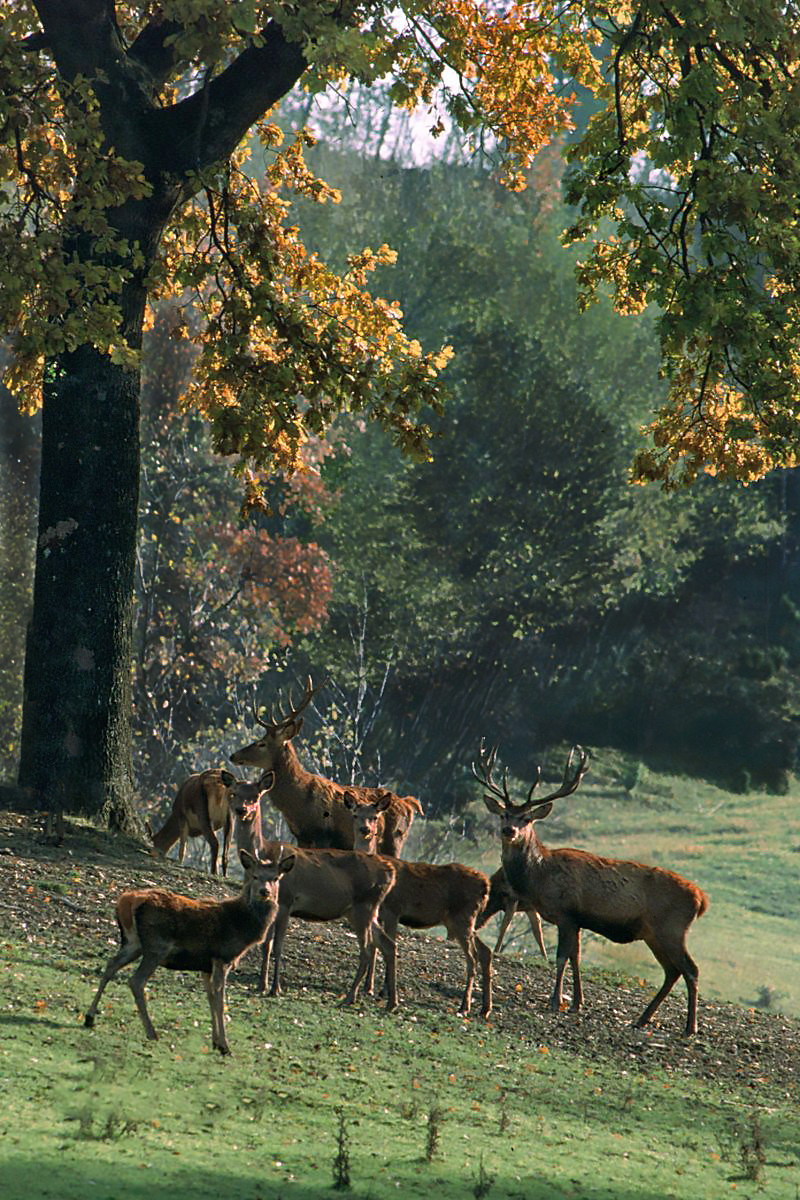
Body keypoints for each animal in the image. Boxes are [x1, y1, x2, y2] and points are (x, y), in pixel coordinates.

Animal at [83, 848, 295, 1055]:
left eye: (276, 878)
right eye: (255, 875)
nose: (264, 891)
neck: (243, 928)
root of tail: (126, 901)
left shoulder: (206, 965)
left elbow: (210, 997)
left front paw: (215, 1042)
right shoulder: (223, 957)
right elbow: (220, 998)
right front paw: (225, 1046)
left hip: (133, 943)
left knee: (111, 965)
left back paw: (89, 1017)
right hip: (156, 946)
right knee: (136, 981)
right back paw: (152, 1032)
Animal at [230, 676, 422, 855]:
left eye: (261, 743)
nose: (233, 756)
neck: (297, 802)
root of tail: (408, 805)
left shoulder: (323, 835)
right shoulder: (301, 836)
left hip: (394, 840)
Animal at [257, 840, 398, 1009]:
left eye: (276, 878)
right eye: (256, 876)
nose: (264, 891)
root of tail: (391, 874)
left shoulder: (285, 902)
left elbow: (277, 947)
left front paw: (275, 989)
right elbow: (266, 944)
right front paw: (261, 986)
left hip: (364, 907)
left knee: (367, 952)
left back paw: (349, 998)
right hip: (360, 912)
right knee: (389, 945)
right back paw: (392, 1003)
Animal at [345, 792, 494, 1017]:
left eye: (375, 816)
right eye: (355, 814)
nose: (365, 830)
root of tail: (486, 885)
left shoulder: (393, 909)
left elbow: (387, 945)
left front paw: (383, 990)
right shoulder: (379, 912)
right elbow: (375, 945)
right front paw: (369, 988)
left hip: (463, 918)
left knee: (473, 957)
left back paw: (465, 1006)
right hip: (460, 921)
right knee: (486, 952)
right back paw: (485, 1009)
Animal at [472, 743, 708, 1035]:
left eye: (527, 818)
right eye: (505, 813)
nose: (509, 830)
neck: (540, 877)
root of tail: (701, 899)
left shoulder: (566, 914)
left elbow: (562, 957)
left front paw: (555, 1002)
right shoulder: (577, 920)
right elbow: (576, 957)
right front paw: (576, 1003)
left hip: (672, 928)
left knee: (691, 969)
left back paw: (690, 1027)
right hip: (653, 933)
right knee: (671, 971)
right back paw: (642, 1019)